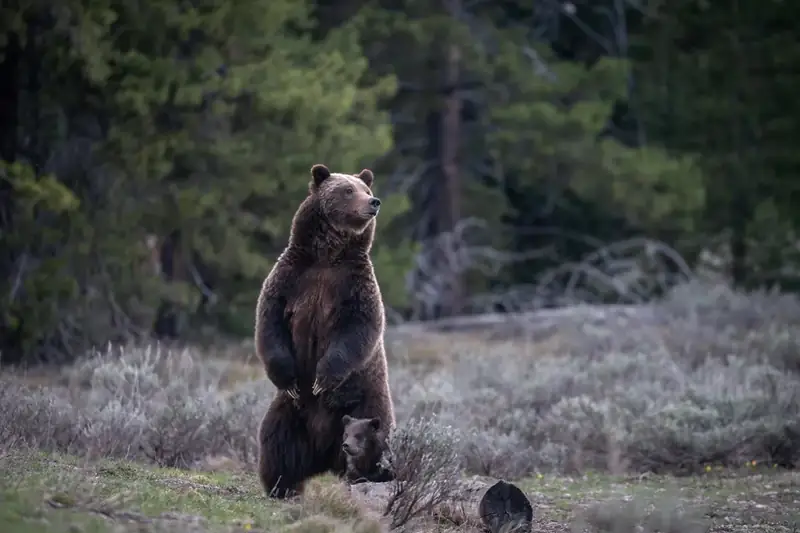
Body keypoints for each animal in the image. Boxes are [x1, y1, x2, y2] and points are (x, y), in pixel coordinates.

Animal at [255, 163, 396, 499]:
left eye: (366, 189)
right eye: (347, 190)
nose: (374, 202)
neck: (327, 256)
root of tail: (323, 455)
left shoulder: (354, 285)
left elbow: (358, 329)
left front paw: (323, 378)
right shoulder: (291, 278)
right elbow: (270, 323)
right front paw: (291, 379)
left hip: (366, 405)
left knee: (373, 442)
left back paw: (369, 476)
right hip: (291, 415)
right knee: (277, 443)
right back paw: (281, 486)